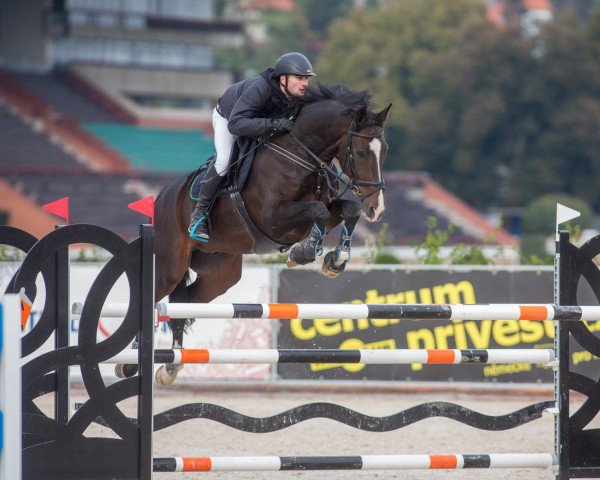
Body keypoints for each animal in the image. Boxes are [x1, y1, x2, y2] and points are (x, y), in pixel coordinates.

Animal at [115, 81, 392, 382]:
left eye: (385, 150)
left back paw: (170, 366)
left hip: (220, 273)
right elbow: (317, 210)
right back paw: (129, 362)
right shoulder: (274, 218)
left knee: (183, 302)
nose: (376, 209)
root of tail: (162, 197)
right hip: (170, 266)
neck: (301, 156)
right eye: (362, 153)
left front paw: (334, 260)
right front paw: (305, 251)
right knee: (154, 296)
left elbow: (348, 209)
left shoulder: (329, 206)